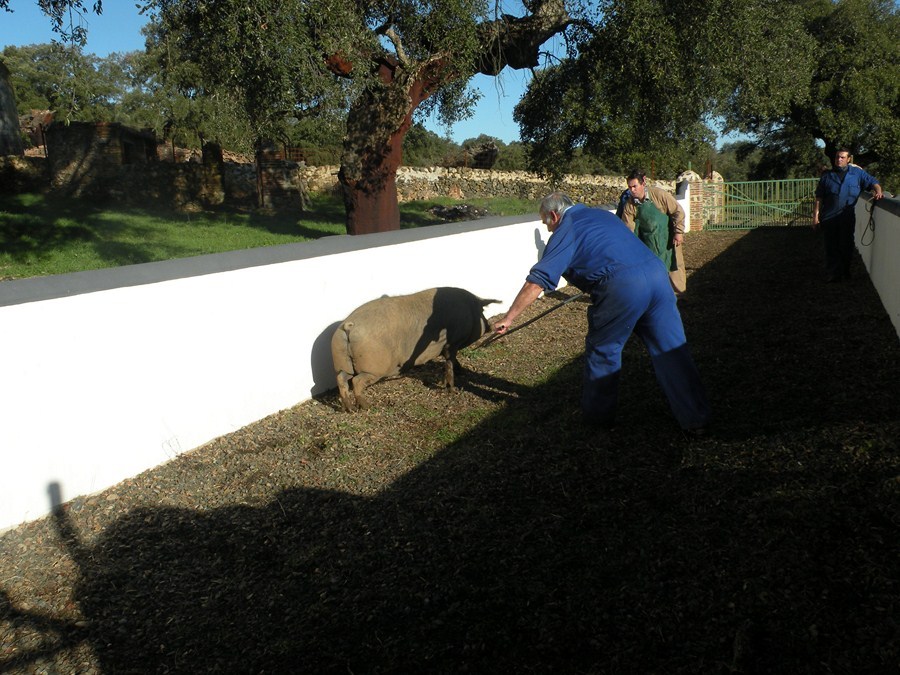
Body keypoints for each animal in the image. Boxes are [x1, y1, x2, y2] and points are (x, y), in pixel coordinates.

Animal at [331, 287, 500, 411]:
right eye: (482, 312)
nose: (491, 326)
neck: (470, 310)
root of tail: (349, 326)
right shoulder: (452, 344)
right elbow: (449, 362)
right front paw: (451, 389)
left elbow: (452, 361)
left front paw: (460, 371)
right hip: (373, 368)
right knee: (356, 381)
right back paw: (367, 407)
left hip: (341, 360)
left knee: (341, 379)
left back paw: (350, 409)